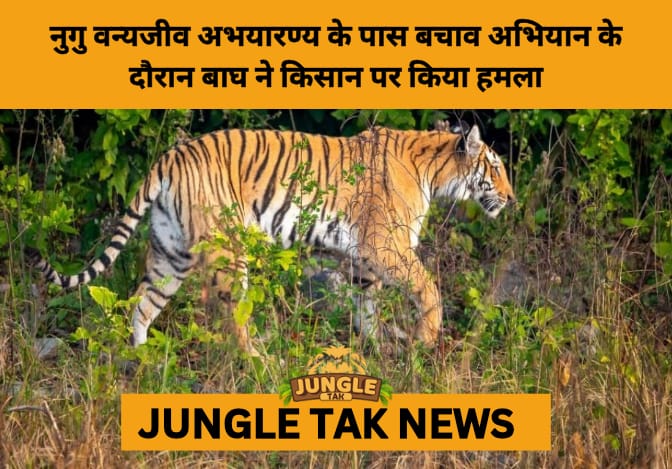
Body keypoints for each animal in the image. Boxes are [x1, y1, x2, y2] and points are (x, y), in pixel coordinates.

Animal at [30, 121, 515, 352]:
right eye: (495, 168)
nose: (510, 198)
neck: (435, 171)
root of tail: (171, 155)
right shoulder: (385, 246)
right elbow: (428, 288)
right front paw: (425, 339)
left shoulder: (362, 257)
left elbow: (367, 306)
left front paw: (379, 347)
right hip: (227, 249)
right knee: (229, 316)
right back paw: (259, 361)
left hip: (172, 252)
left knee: (142, 304)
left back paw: (141, 361)